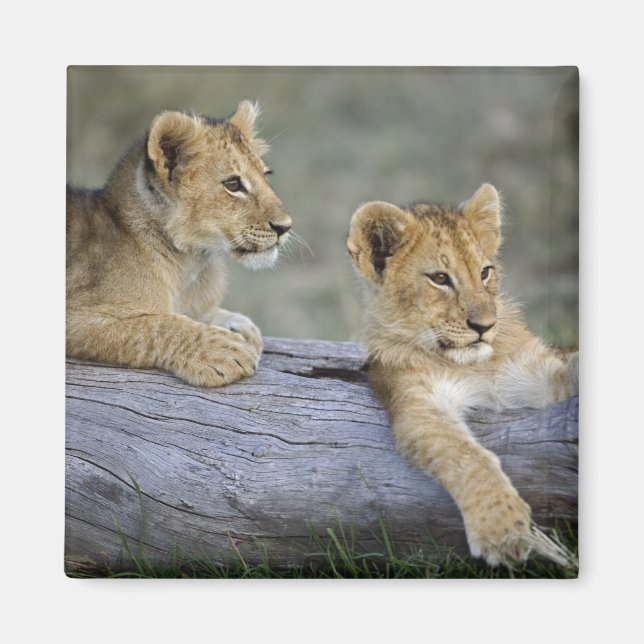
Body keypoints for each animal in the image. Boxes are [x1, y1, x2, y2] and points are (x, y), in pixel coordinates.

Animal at [67, 100, 292, 387]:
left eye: (266, 174)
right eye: (233, 184)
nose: (285, 227)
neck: (191, 265)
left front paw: (237, 324)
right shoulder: (76, 312)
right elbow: (152, 326)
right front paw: (222, 350)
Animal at [347, 183, 578, 567]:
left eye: (485, 272)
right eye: (440, 279)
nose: (485, 326)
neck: (473, 364)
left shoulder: (535, 373)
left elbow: (570, 369)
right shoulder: (417, 403)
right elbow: (468, 456)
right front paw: (503, 530)